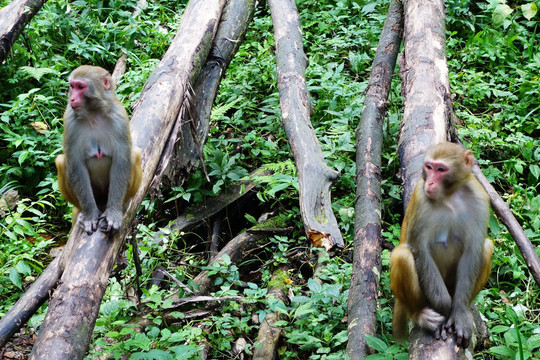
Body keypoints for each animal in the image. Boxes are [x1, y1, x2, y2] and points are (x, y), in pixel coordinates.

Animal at [55, 65, 141, 235]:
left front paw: (113, 213)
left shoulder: (119, 117)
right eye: (72, 86)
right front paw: (90, 216)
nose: (71, 99)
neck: (93, 113)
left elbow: (122, 161)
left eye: (80, 87)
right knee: (61, 161)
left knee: (134, 155)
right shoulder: (69, 119)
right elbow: (76, 165)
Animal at [388, 142, 494, 348]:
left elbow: (473, 251)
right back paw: (420, 315)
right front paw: (444, 310)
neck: (449, 196)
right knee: (402, 255)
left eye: (441, 169)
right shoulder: (420, 198)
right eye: (429, 167)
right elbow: (420, 251)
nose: (429, 183)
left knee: (486, 247)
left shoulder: (480, 199)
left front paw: (459, 314)